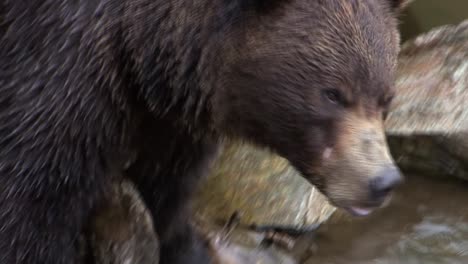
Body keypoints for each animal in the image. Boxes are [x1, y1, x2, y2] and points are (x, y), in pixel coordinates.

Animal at [0, 0, 406, 262]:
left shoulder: (170, 115)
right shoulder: (63, 66)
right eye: (333, 94)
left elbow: (168, 184)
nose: (382, 181)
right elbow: (30, 199)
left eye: (385, 96)